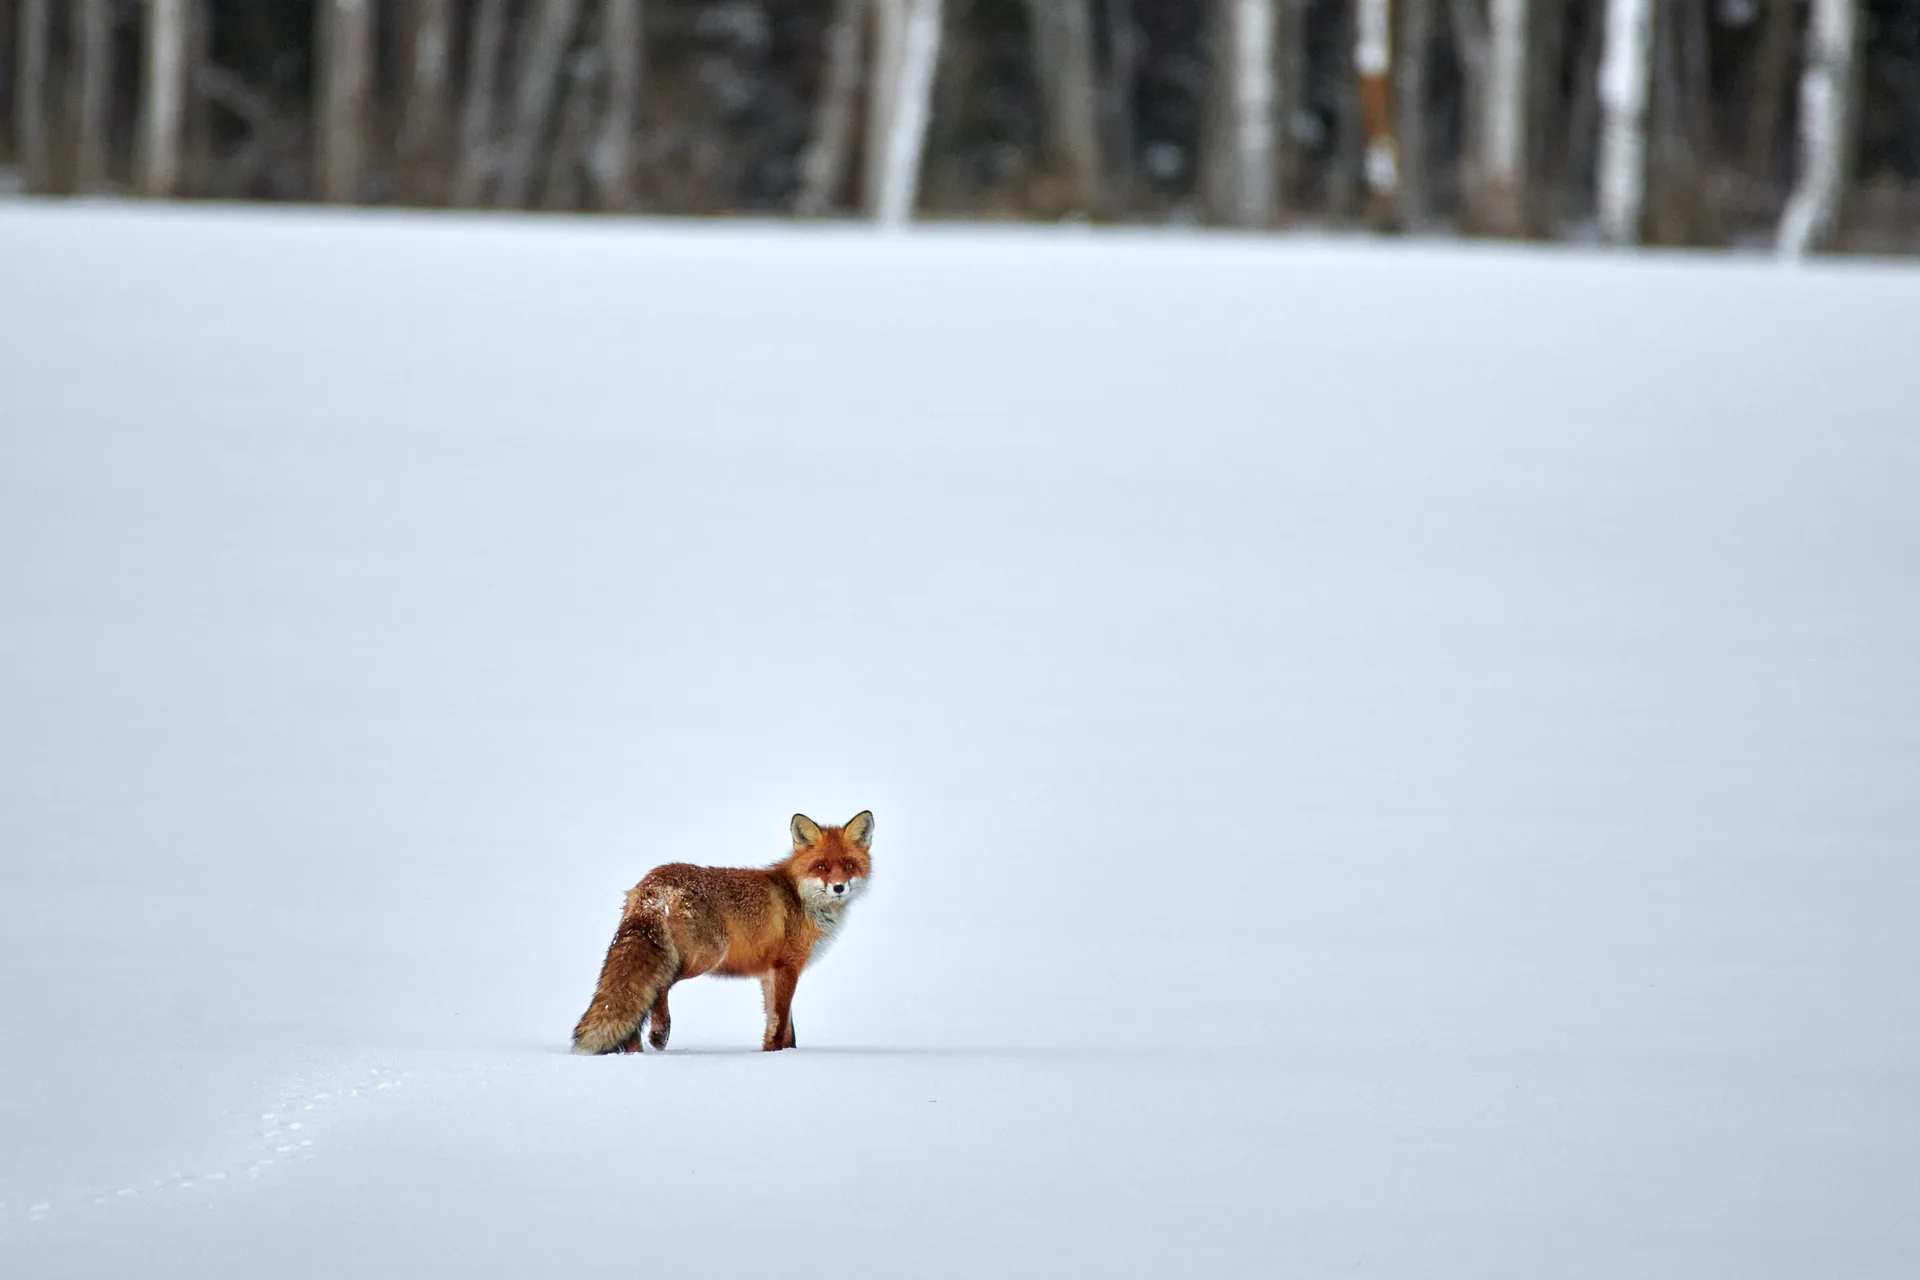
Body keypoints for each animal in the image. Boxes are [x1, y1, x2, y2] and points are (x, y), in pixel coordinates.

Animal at [571, 811, 873, 1055]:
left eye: (849, 865)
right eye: (821, 866)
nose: (839, 887)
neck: (799, 897)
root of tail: (653, 886)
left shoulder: (768, 973)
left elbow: (781, 1026)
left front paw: (778, 1053)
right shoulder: (787, 967)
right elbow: (779, 1023)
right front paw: (777, 1057)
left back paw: (633, 1051)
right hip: (703, 956)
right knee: (659, 987)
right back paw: (658, 1034)